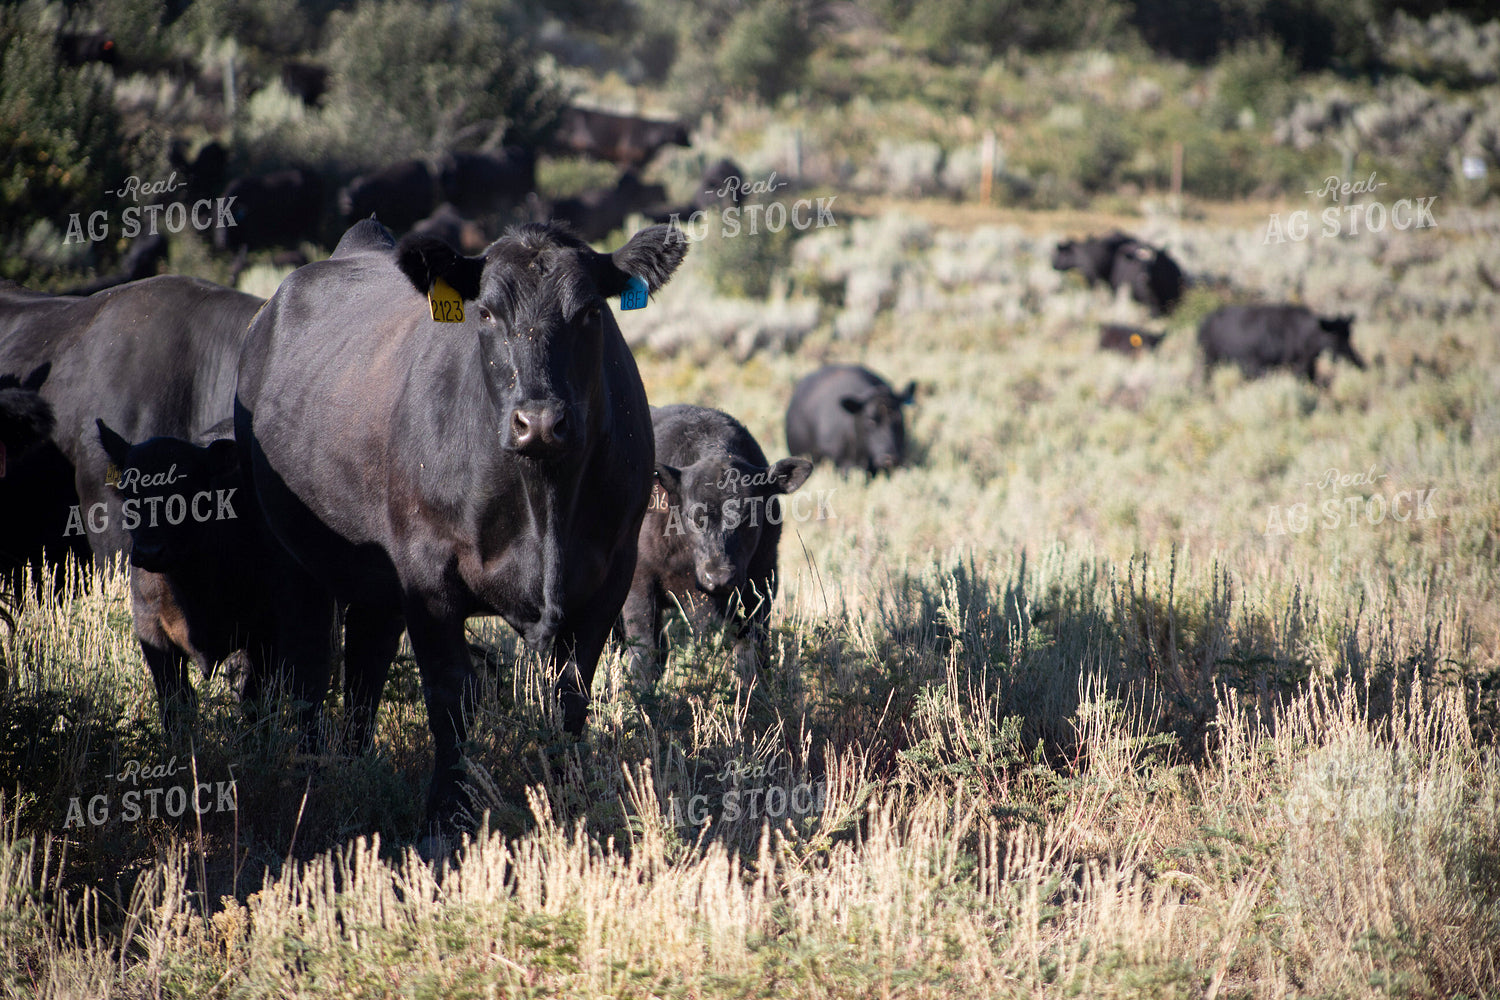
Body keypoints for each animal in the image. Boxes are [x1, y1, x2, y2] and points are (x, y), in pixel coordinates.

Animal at [234, 219, 687, 828]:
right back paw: (312, 779)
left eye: (592, 311)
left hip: (374, 580)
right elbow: (452, 696)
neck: (544, 502)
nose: (538, 422)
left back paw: (353, 767)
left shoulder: (608, 578)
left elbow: (568, 699)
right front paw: (445, 817)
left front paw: (569, 805)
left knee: (365, 666)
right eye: (487, 313)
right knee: (309, 666)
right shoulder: (428, 576)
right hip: (289, 554)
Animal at [621, 405, 812, 685]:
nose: (719, 577)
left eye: (749, 515)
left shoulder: (762, 580)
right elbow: (645, 652)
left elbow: (751, 648)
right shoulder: (639, 585)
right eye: (693, 516)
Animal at [1198, 305, 1365, 382]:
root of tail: (1204, 324)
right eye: (1335, 336)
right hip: (1209, 358)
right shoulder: (1257, 365)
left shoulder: (1306, 366)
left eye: (1349, 334)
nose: (1359, 362)